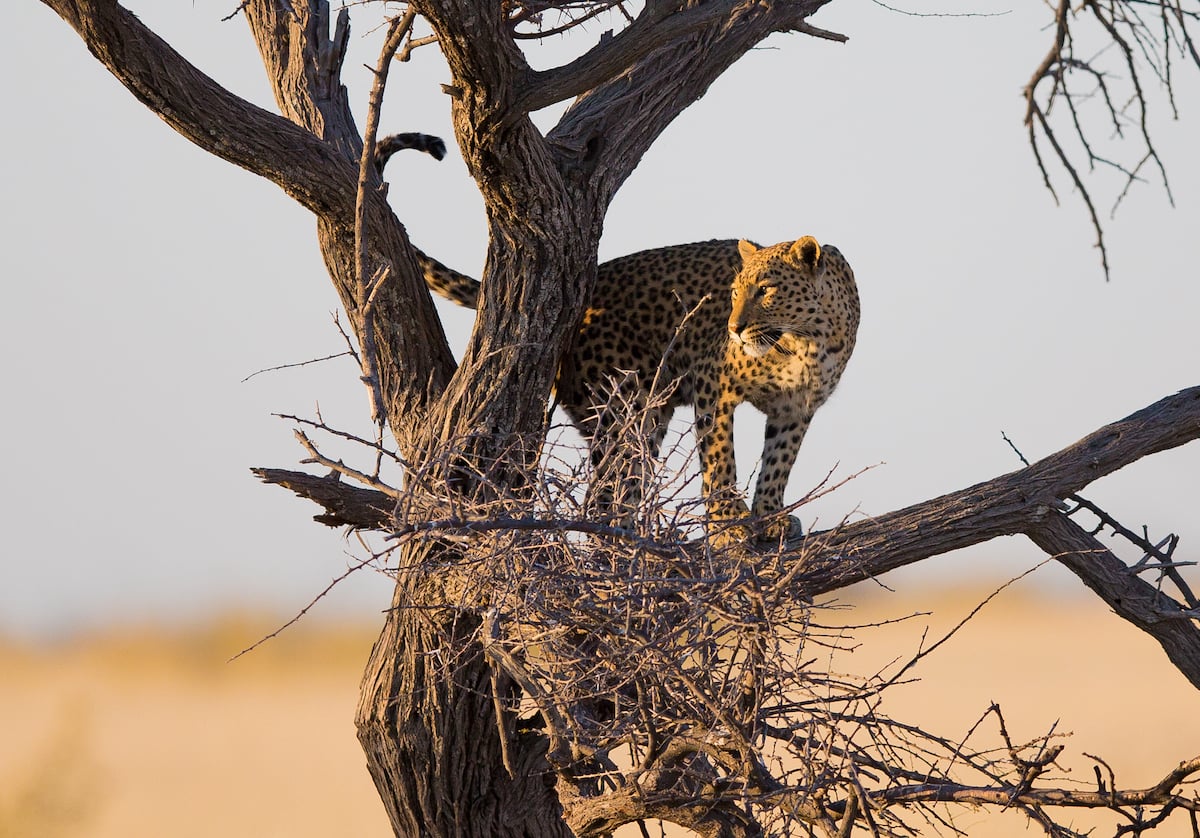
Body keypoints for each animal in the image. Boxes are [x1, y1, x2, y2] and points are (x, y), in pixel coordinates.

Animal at [379, 133, 860, 543]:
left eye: (766, 290)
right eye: (735, 291)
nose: (734, 328)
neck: (805, 341)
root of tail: (587, 290)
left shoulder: (796, 408)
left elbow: (779, 463)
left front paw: (770, 517)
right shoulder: (713, 383)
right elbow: (720, 457)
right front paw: (730, 525)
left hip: (646, 416)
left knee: (615, 493)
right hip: (621, 409)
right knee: (605, 496)